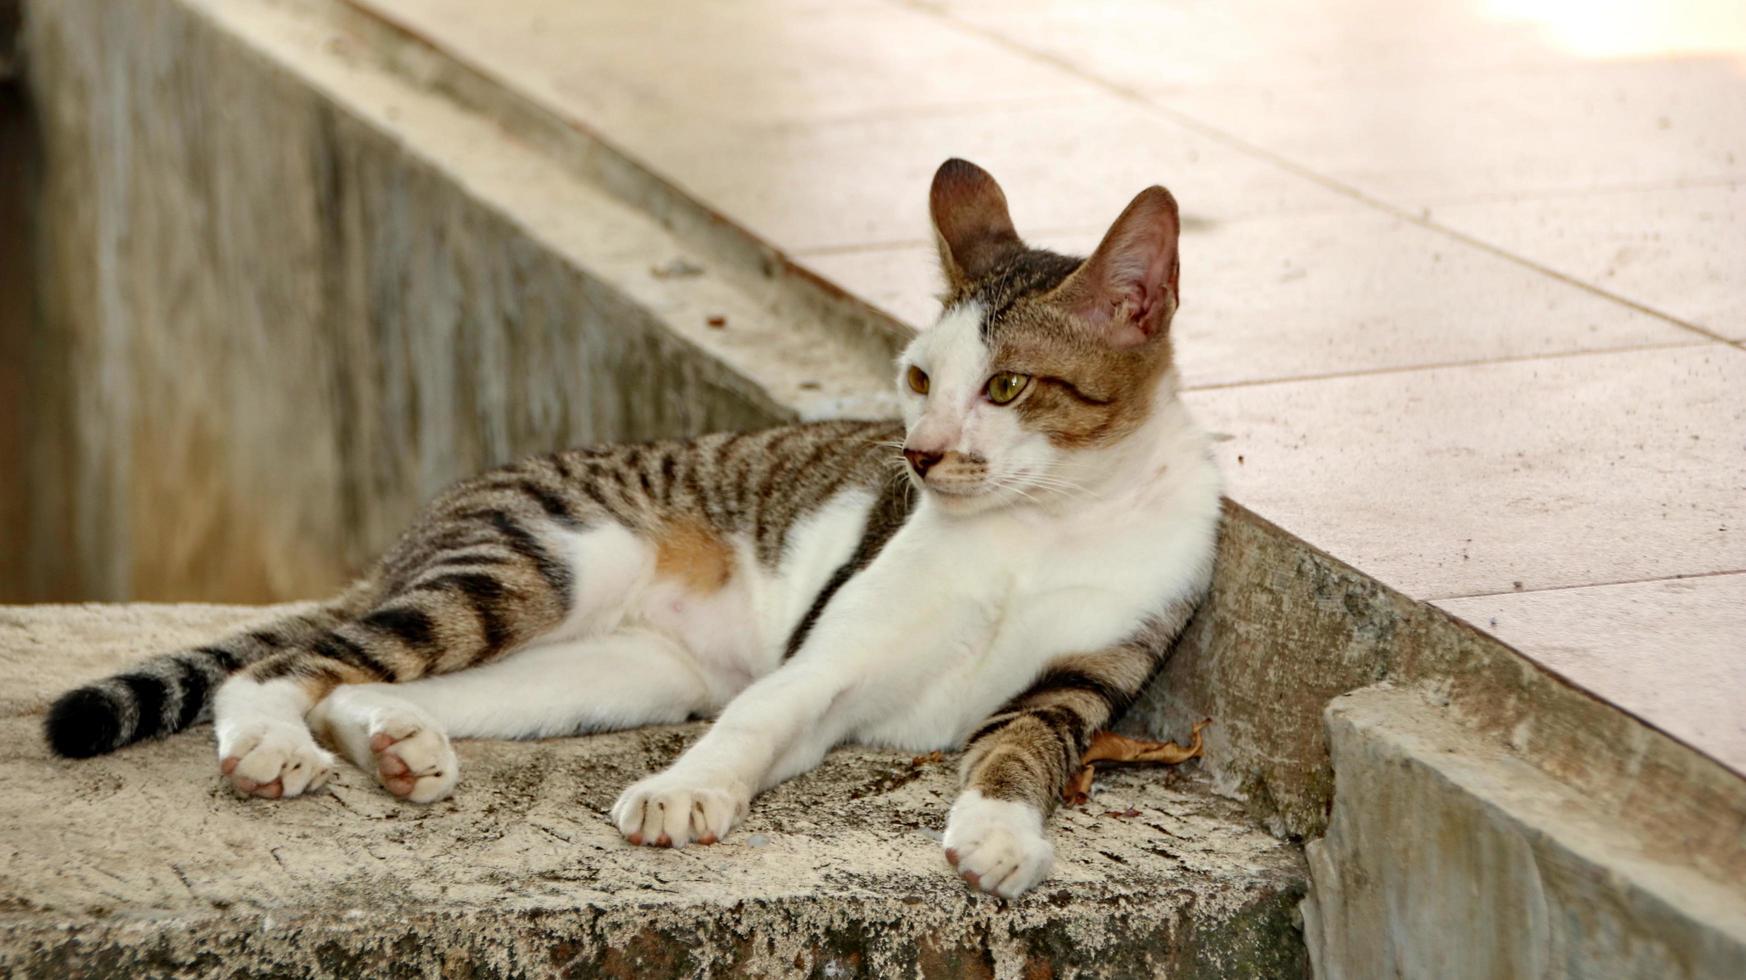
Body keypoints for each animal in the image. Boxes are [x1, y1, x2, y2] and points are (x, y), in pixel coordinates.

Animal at [41, 156, 1215, 901]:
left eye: (1007, 385)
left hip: (612, 671)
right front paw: (685, 792)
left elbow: (1022, 745)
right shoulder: (832, 650)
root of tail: (421, 526)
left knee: (360, 682)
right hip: (532, 569)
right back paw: (272, 745)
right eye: (921, 378)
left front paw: (1001, 836)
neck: (1045, 522)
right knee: (290, 661)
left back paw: (395, 748)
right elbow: (756, 719)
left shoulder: (1086, 681)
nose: (919, 455)